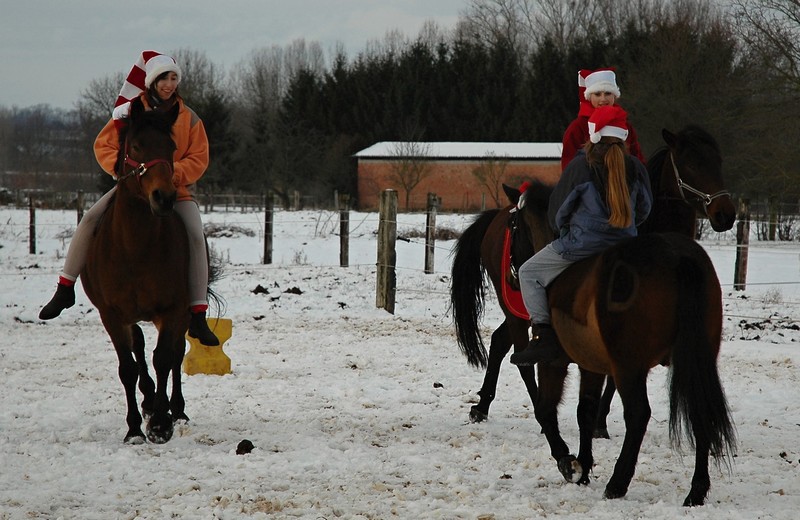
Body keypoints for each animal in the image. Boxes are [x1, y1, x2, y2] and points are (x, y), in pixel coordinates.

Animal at [81, 97, 202, 442]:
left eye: (171, 147)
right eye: (135, 145)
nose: (164, 197)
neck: (135, 247)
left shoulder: (172, 310)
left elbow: (164, 359)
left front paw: (161, 423)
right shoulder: (112, 315)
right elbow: (128, 368)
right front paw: (135, 427)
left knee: (175, 353)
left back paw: (176, 410)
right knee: (138, 348)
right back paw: (148, 402)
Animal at [450, 126, 736, 434]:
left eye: (718, 162)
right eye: (691, 164)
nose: (725, 213)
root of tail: (496, 215)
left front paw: (599, 420)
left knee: (501, 342)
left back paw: (483, 405)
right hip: (515, 309)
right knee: (518, 355)